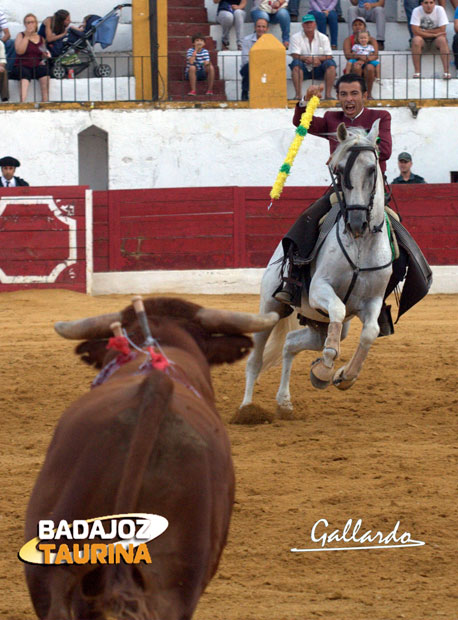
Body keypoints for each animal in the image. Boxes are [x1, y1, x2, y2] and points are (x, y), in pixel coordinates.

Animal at [240, 120, 394, 422]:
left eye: (372, 169)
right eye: (339, 170)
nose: (356, 222)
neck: (360, 245)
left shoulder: (372, 302)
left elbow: (369, 332)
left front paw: (344, 376)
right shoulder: (319, 290)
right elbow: (338, 308)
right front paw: (324, 368)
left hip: (316, 324)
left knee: (289, 343)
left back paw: (284, 402)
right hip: (272, 306)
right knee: (256, 359)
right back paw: (246, 409)